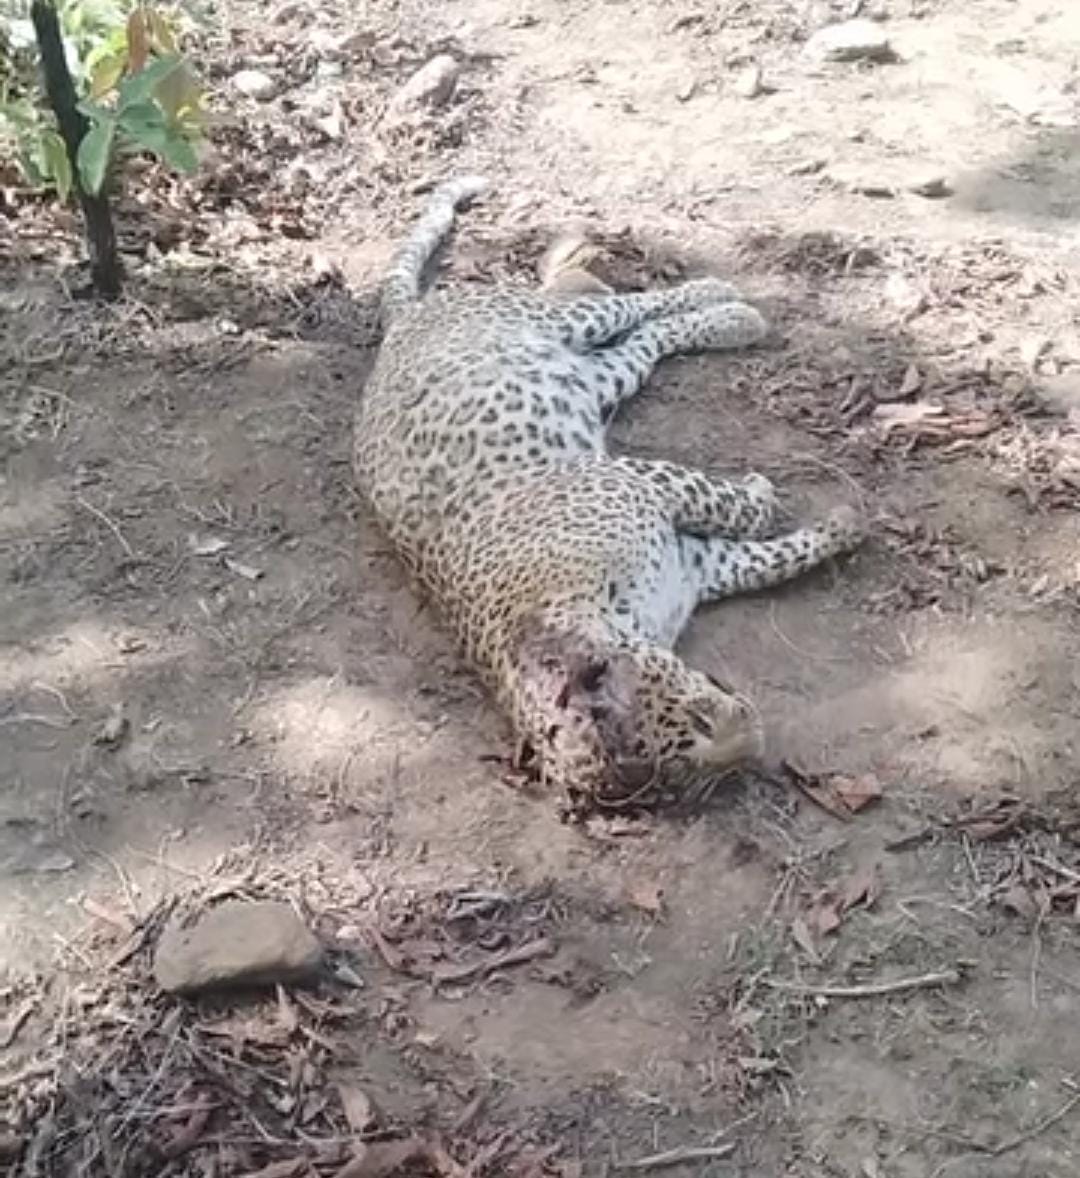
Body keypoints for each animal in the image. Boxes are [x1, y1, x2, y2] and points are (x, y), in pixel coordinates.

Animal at [353, 176, 865, 814]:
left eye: (698, 722)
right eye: (686, 780)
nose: (750, 736)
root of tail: (400, 325)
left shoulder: (635, 481)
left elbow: (739, 509)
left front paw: (795, 500)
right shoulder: (701, 564)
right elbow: (774, 557)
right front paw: (843, 522)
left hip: (552, 320)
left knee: (631, 307)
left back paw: (726, 301)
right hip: (595, 376)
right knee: (644, 342)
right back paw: (731, 318)